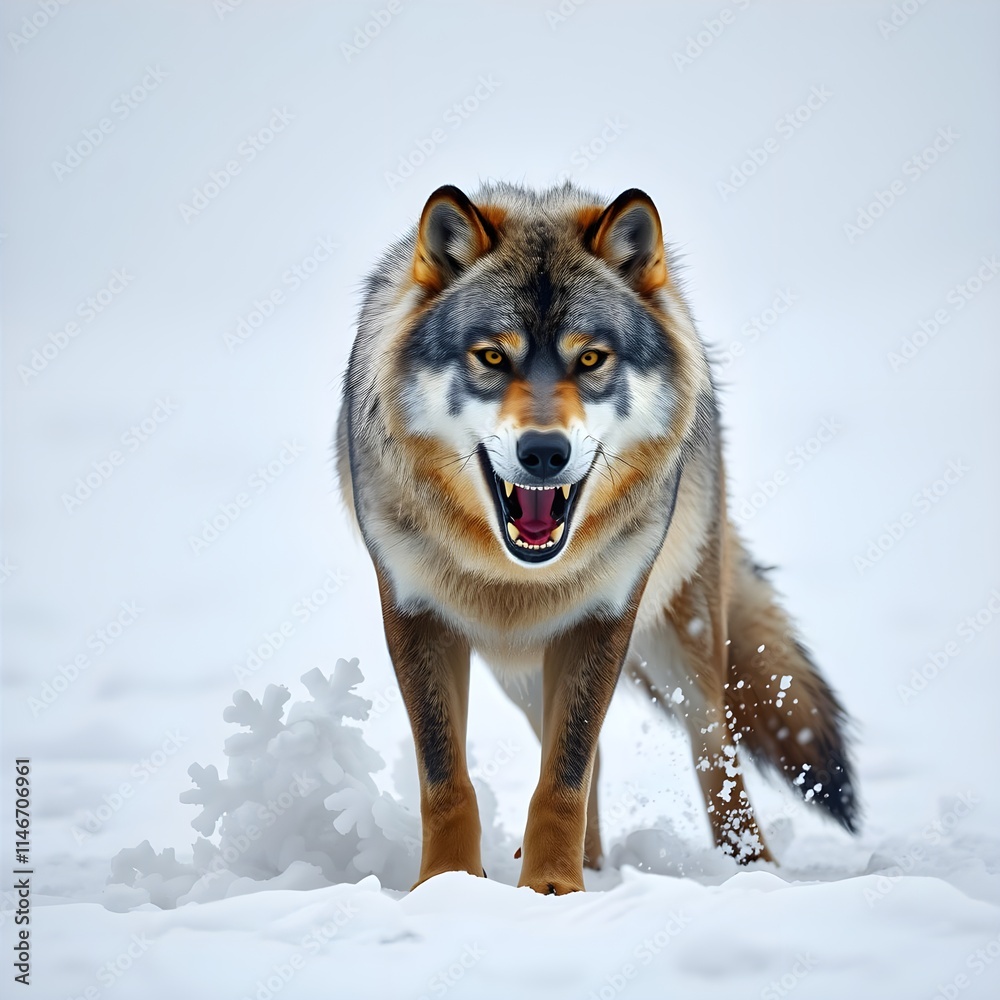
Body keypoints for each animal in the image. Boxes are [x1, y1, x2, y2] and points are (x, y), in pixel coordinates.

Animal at [336, 182, 857, 894]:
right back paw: (596, 862)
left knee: (713, 747)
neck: (517, 575)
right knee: (595, 755)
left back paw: (750, 872)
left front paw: (553, 892)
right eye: (492, 356)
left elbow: (564, 777)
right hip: (520, 674)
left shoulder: (604, 618)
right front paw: (447, 886)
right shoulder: (416, 615)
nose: (544, 453)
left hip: (683, 637)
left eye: (589, 359)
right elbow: (448, 780)